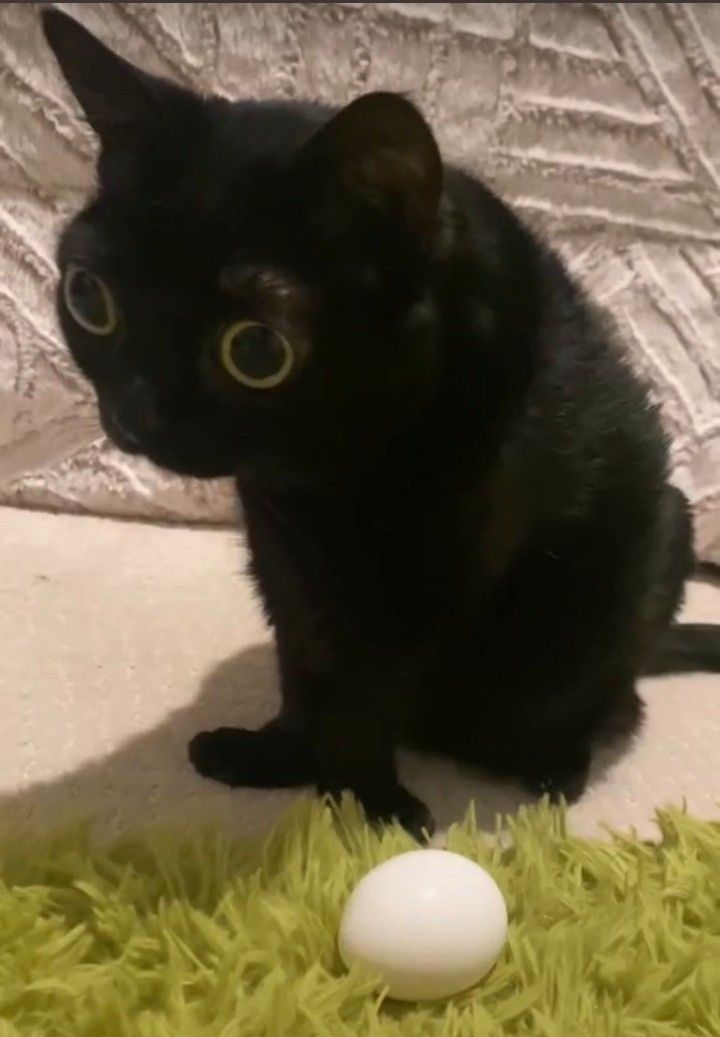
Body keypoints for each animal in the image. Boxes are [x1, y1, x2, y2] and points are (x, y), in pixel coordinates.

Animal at [40, 8, 720, 837]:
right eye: (89, 296)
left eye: (256, 349)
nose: (133, 415)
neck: (324, 472)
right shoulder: (284, 555)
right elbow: (304, 665)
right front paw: (280, 757)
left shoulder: (431, 573)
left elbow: (366, 693)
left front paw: (361, 803)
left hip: (638, 566)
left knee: (614, 705)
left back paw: (552, 763)